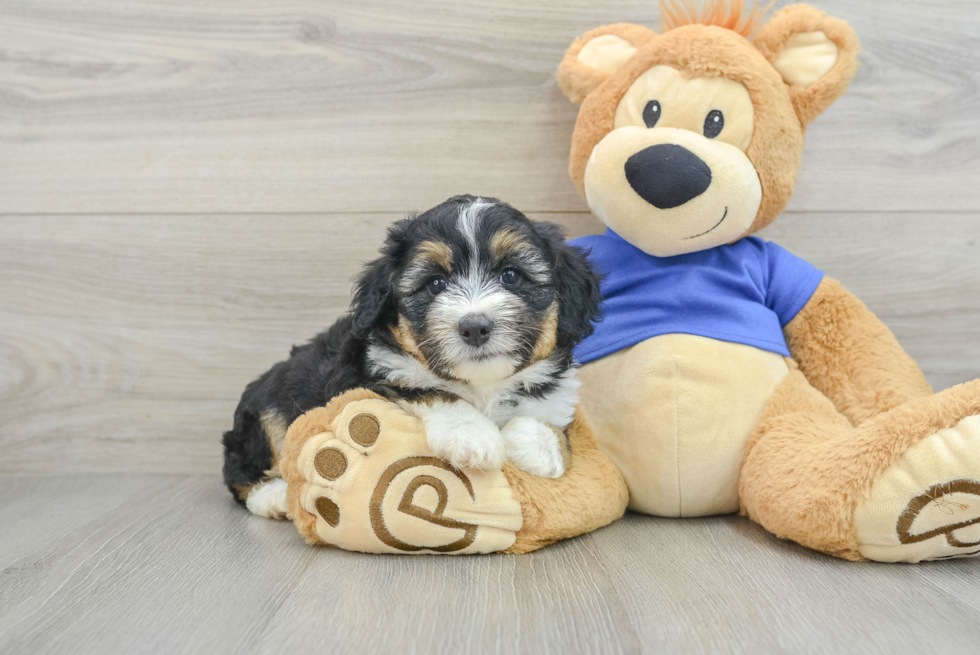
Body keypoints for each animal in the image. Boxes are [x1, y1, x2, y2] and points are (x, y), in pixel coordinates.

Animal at [225, 195, 600, 516]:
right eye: (435, 283)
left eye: (511, 275)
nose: (475, 327)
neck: (482, 385)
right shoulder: (366, 379)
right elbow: (427, 388)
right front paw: (472, 435)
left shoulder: (555, 397)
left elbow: (555, 428)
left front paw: (535, 443)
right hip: (265, 414)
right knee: (242, 471)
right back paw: (274, 497)